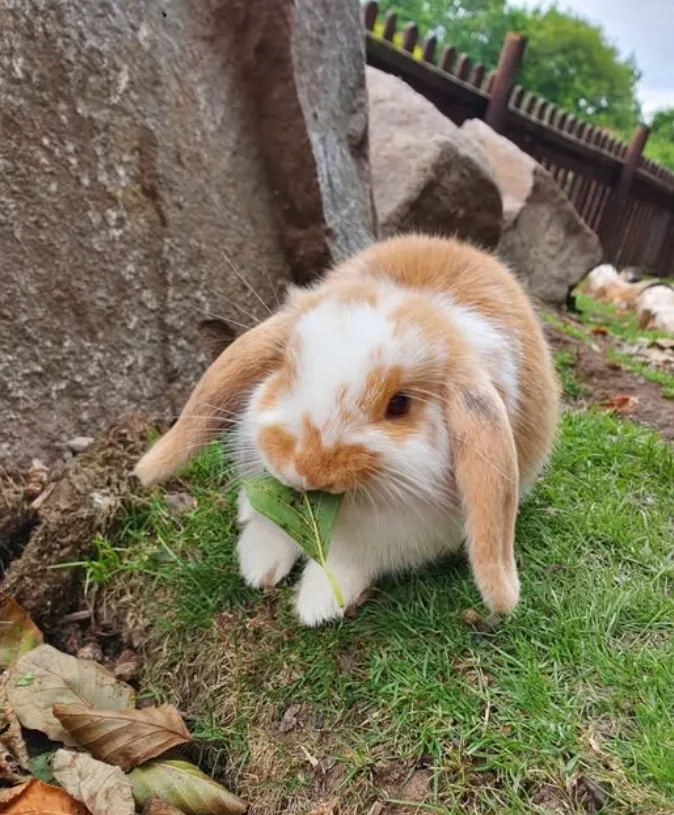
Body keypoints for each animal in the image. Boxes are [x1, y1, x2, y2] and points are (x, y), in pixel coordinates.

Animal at [134, 235, 560, 626]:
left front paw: (317, 605)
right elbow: (272, 530)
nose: (303, 468)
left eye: (399, 404)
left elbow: (346, 562)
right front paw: (259, 567)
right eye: (288, 370)